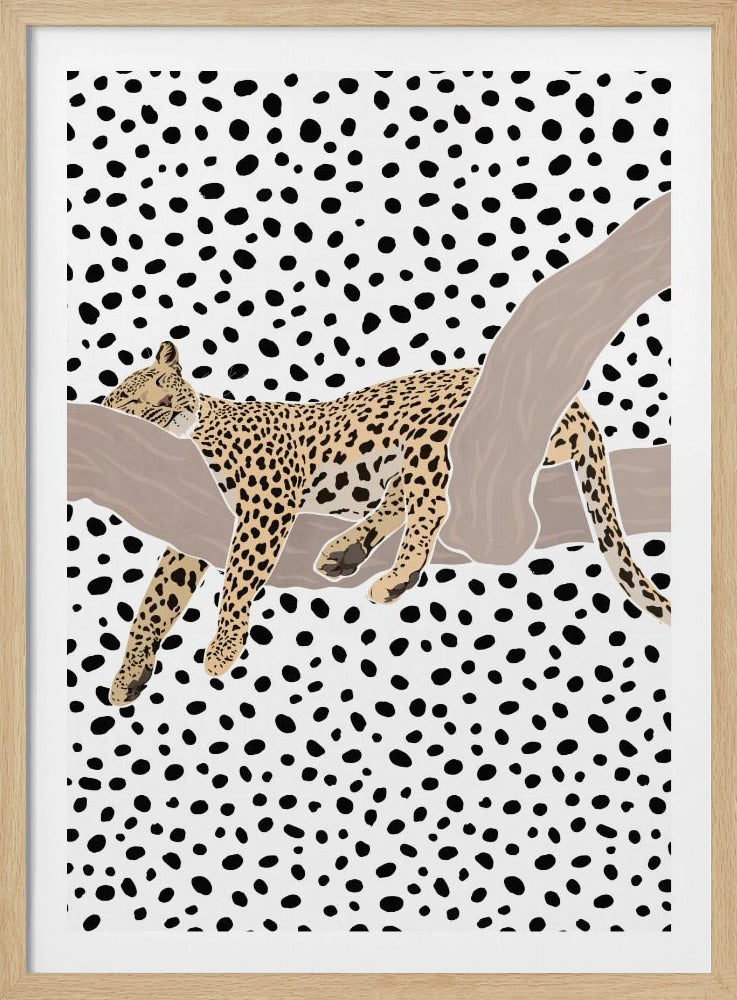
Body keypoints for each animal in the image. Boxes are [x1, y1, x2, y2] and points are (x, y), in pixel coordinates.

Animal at [102, 340, 670, 705]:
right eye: (133, 400)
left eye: (164, 382)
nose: (169, 402)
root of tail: (572, 403)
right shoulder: (189, 529)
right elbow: (156, 600)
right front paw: (129, 676)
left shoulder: (267, 502)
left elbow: (238, 577)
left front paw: (222, 649)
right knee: (406, 497)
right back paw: (347, 550)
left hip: (432, 432)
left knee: (431, 503)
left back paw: (395, 577)